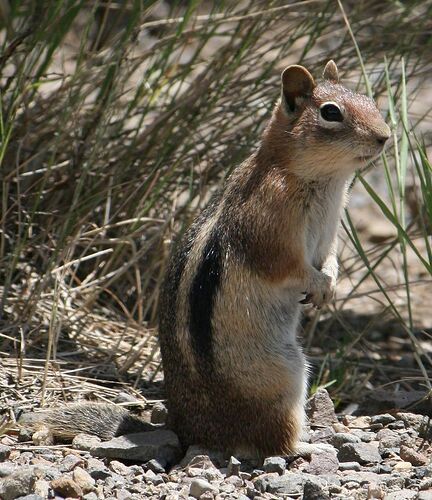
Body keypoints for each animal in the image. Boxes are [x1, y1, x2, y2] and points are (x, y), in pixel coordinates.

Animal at [23, 62, 392, 460]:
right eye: (330, 113)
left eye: (368, 98)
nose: (385, 137)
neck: (320, 179)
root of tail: (188, 430)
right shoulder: (268, 222)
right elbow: (284, 266)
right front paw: (318, 283)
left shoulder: (329, 234)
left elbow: (330, 259)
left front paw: (330, 284)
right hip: (283, 378)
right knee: (272, 442)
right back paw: (310, 444)